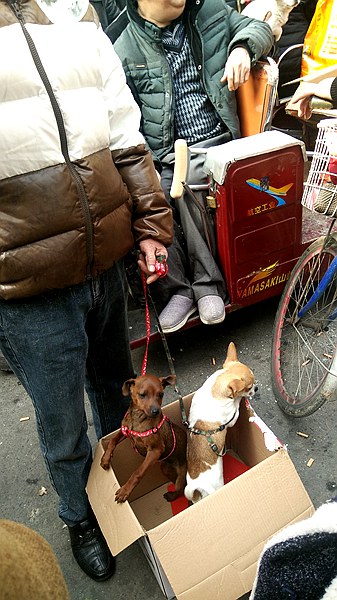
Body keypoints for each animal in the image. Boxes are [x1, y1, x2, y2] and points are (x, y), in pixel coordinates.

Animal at [100, 372, 186, 504]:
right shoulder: (125, 430)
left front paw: (125, 491)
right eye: (142, 395)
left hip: (181, 476)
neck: (138, 417)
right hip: (165, 468)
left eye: (161, 394)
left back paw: (172, 496)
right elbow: (113, 441)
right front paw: (105, 458)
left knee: (181, 490)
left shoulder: (155, 451)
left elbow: (137, 473)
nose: (156, 411)